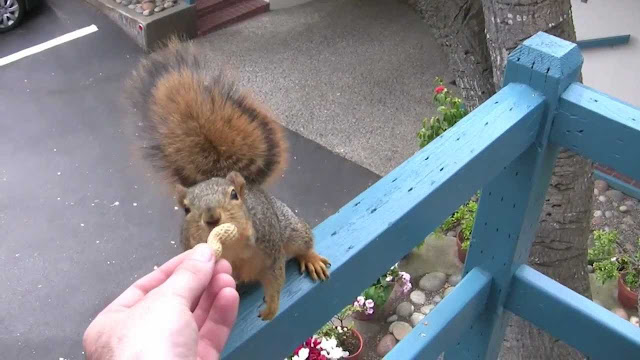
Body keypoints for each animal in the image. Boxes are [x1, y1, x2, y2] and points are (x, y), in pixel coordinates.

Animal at [125, 36, 332, 320]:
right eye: (185, 209)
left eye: (234, 195)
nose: (212, 218)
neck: (233, 249)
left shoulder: (271, 251)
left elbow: (276, 279)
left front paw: (271, 307)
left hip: (289, 228)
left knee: (303, 241)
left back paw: (311, 258)